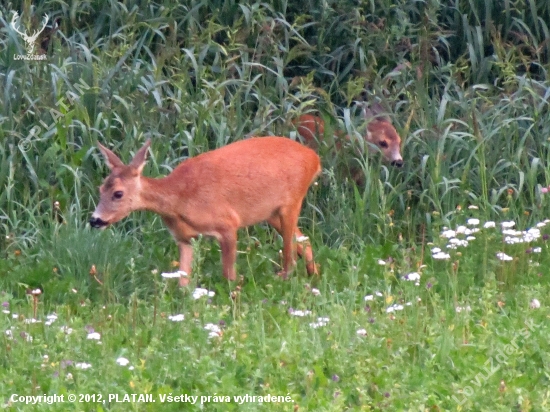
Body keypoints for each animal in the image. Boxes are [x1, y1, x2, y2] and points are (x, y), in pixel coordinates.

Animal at [89, 137, 324, 284]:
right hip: (272, 214)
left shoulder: (228, 223)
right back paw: (314, 276)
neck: (179, 200)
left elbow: (228, 275)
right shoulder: (184, 238)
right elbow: (183, 281)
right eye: (100, 189)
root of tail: (315, 158)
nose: (95, 220)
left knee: (290, 256)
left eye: (118, 193)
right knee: (305, 241)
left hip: (291, 202)